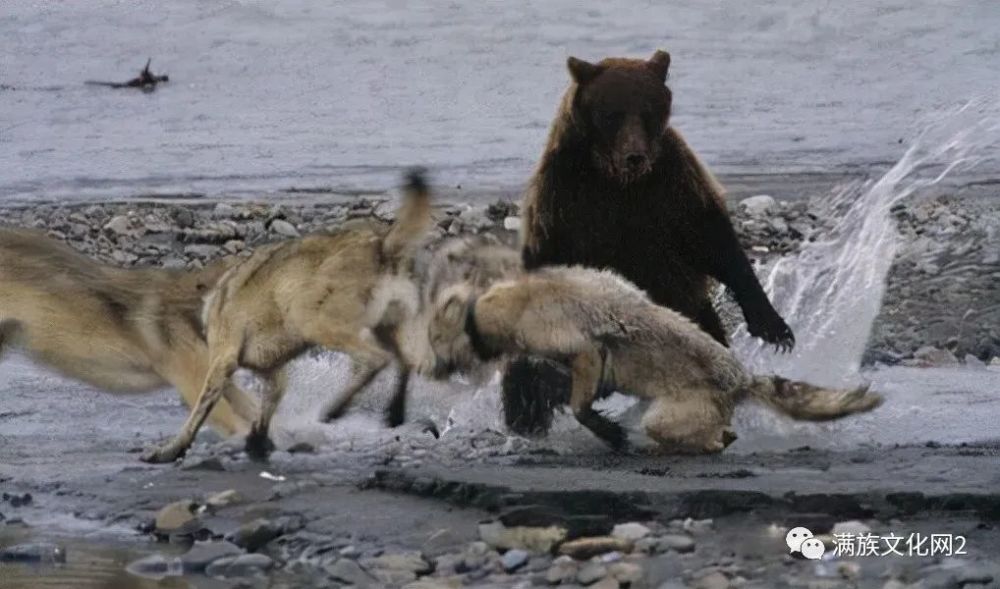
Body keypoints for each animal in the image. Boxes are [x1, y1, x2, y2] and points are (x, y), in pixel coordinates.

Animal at [142, 168, 434, 462]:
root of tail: (381, 245)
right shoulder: (273, 376)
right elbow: (266, 409)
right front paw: (257, 442)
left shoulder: (222, 360)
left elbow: (200, 409)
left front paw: (172, 448)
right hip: (388, 325)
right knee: (405, 362)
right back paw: (394, 412)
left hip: (313, 321)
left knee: (374, 359)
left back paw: (336, 409)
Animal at [426, 266, 880, 454]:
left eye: (434, 341)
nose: (430, 369)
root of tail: (742, 379)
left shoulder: (579, 347)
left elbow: (580, 404)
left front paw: (610, 433)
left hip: (669, 415)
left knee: (709, 437)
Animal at [508, 50, 796, 434]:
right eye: (611, 113)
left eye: (647, 110)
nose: (635, 156)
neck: (616, 180)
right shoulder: (567, 204)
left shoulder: (671, 188)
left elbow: (715, 243)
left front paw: (774, 328)